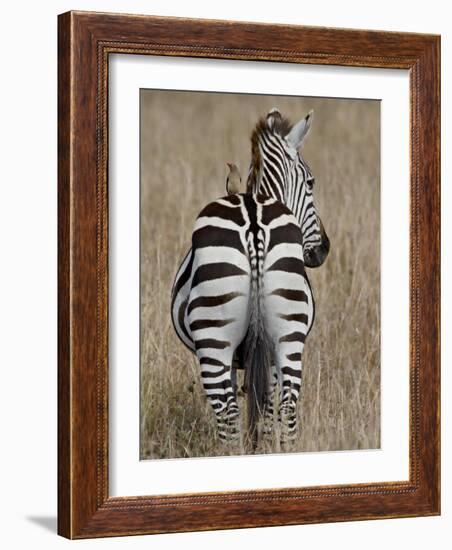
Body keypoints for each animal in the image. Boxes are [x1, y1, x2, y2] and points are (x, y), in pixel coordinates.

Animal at [170, 109, 328, 448]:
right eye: (311, 182)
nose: (324, 249)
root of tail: (254, 222)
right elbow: (265, 410)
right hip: (287, 334)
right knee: (287, 405)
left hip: (214, 339)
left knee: (228, 413)